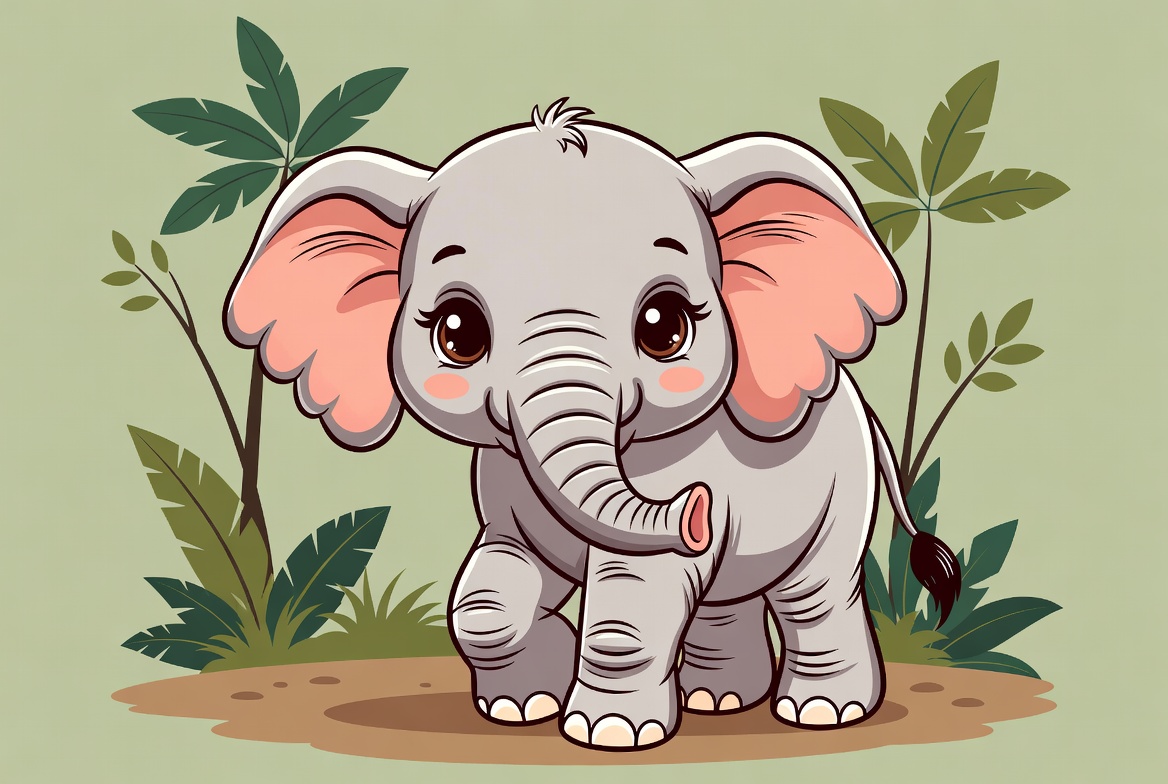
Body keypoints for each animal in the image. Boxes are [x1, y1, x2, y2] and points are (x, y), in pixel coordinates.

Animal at [224, 99, 960, 750]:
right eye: (457, 333)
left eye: (665, 326)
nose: (700, 510)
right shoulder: (508, 481)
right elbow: (487, 596)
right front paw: (523, 707)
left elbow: (634, 602)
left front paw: (606, 734)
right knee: (727, 595)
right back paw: (715, 701)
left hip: (842, 492)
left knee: (815, 594)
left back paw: (821, 713)